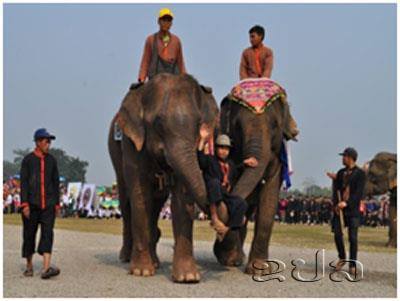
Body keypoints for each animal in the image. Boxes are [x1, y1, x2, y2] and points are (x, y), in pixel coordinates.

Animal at [107, 72, 219, 282]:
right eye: (158, 123)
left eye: (198, 124)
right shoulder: (133, 143)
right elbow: (140, 195)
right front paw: (141, 272)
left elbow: (181, 197)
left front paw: (188, 277)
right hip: (114, 148)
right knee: (126, 200)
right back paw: (126, 258)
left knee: (156, 203)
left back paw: (156, 261)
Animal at [214, 92, 298, 272]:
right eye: (237, 127)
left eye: (274, 125)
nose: (250, 161)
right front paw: (228, 259)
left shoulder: (278, 159)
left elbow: (269, 198)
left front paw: (260, 269)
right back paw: (234, 258)